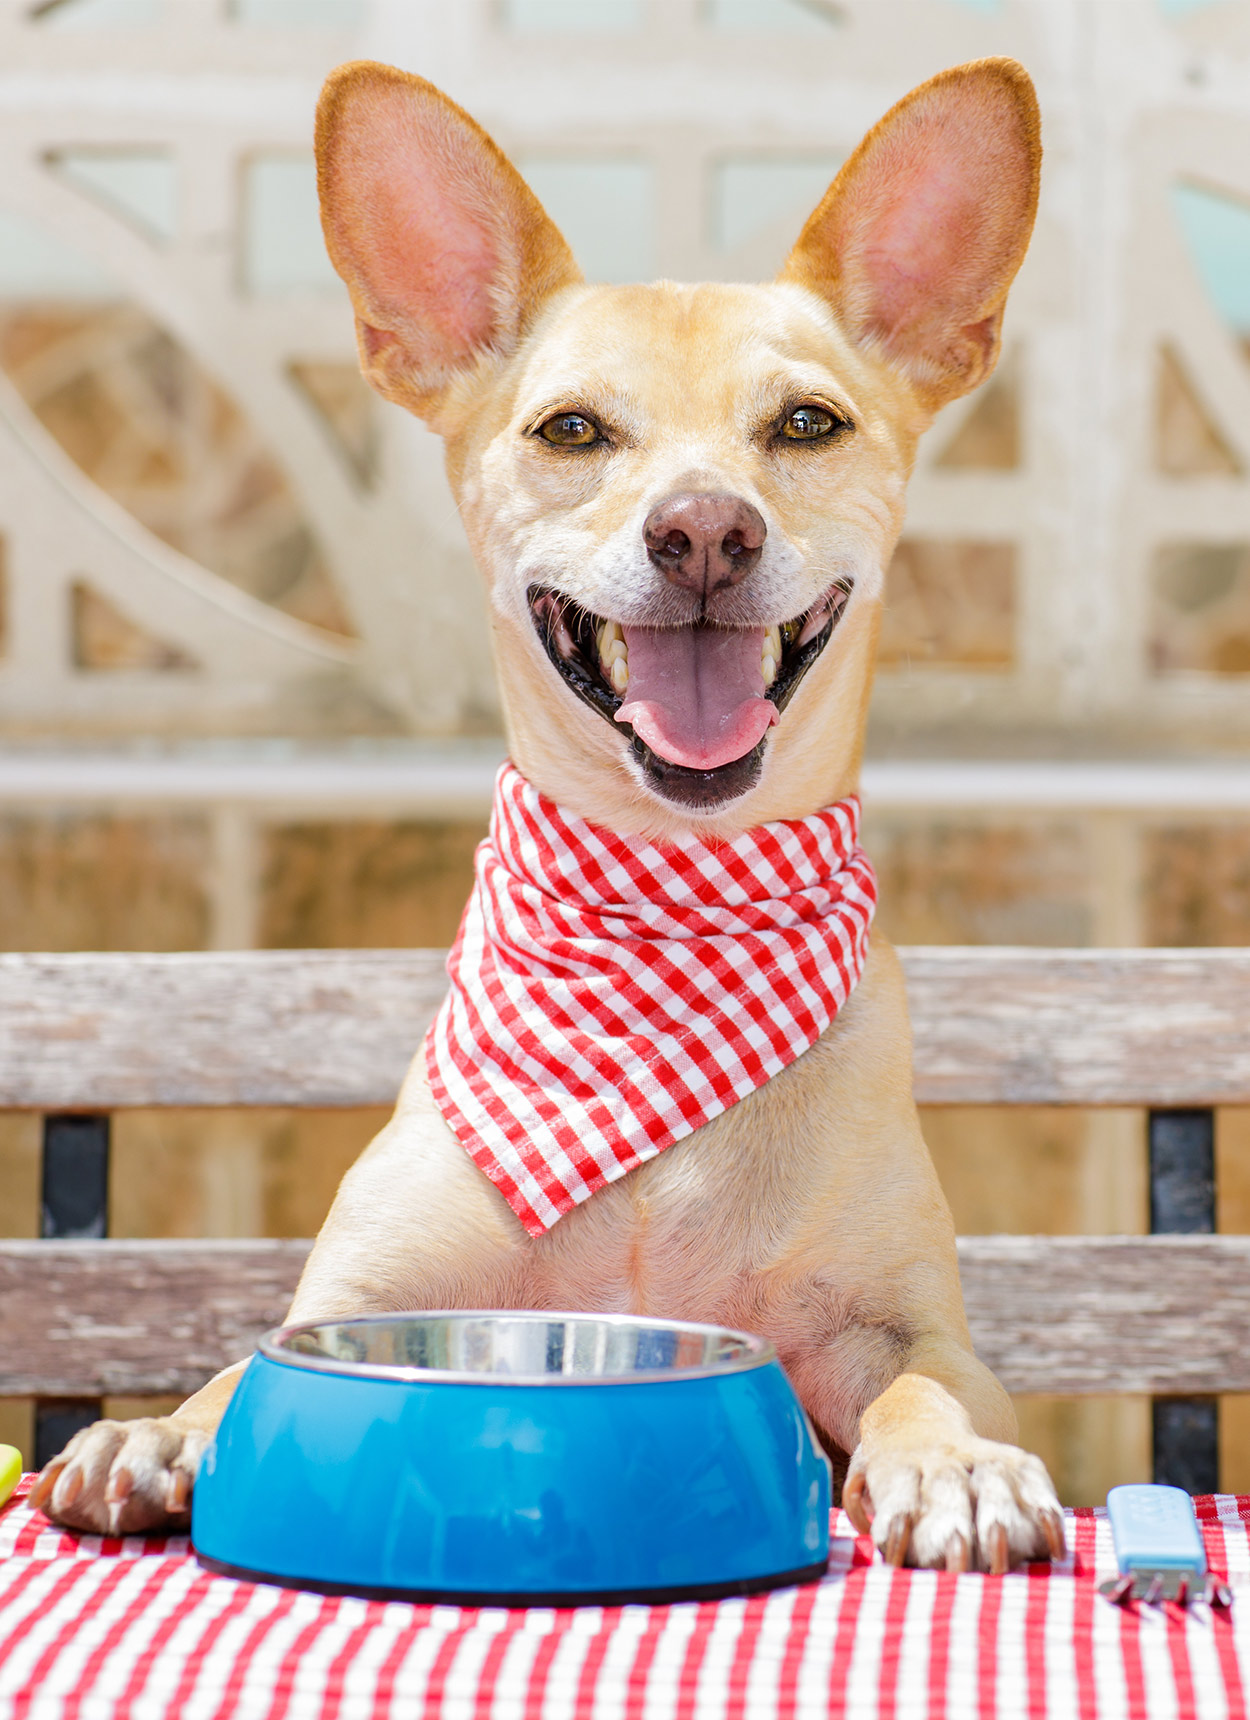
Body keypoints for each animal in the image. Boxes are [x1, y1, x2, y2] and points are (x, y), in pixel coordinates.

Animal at [31, 53, 1066, 1575]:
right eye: (571, 428)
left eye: (804, 423)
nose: (704, 532)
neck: (656, 912)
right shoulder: (353, 1299)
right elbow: (234, 1370)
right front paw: (154, 1432)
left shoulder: (909, 1326)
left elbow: (927, 1387)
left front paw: (954, 1466)